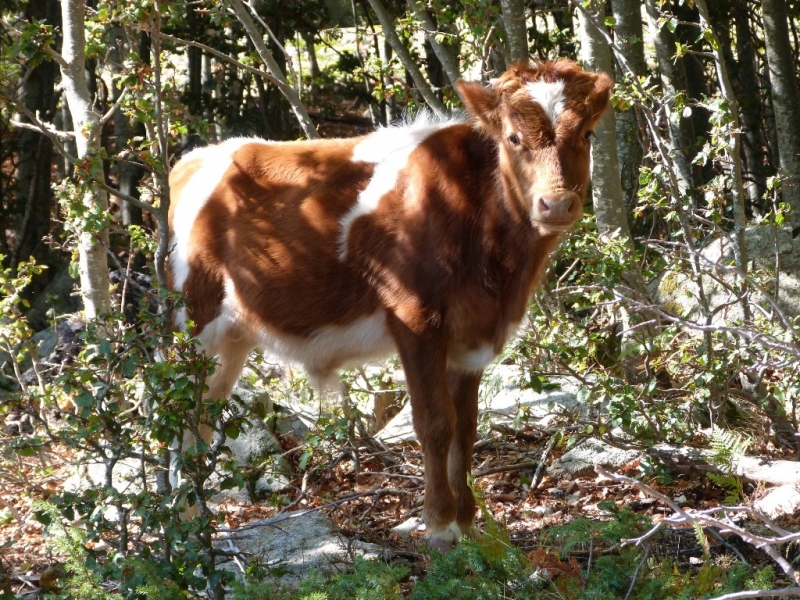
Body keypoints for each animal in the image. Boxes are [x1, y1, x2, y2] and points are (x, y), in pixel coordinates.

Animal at [166, 58, 608, 552]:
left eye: (587, 134)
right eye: (513, 138)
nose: (557, 203)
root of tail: (199, 157)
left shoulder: (471, 336)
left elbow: (467, 429)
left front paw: (468, 523)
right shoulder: (415, 319)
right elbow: (435, 422)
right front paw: (440, 525)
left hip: (234, 336)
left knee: (202, 419)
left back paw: (192, 524)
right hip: (193, 318)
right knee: (177, 414)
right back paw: (179, 527)